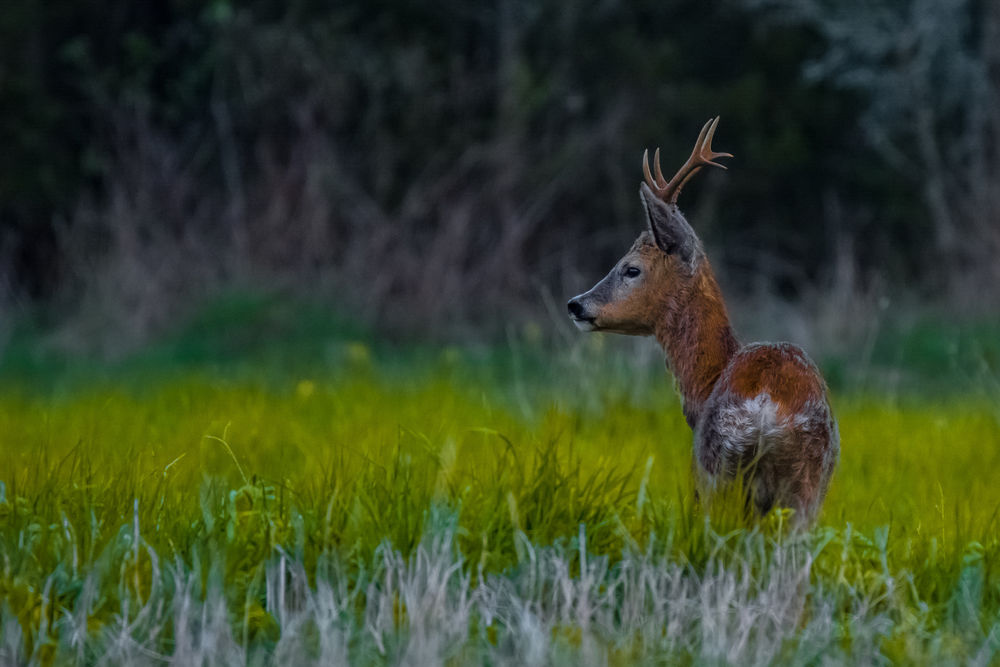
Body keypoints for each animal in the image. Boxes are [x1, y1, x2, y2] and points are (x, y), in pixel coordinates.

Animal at [566, 117, 839, 526]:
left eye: (631, 269)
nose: (576, 304)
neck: (707, 380)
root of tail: (766, 411)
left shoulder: (698, 473)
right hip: (807, 483)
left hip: (719, 469)